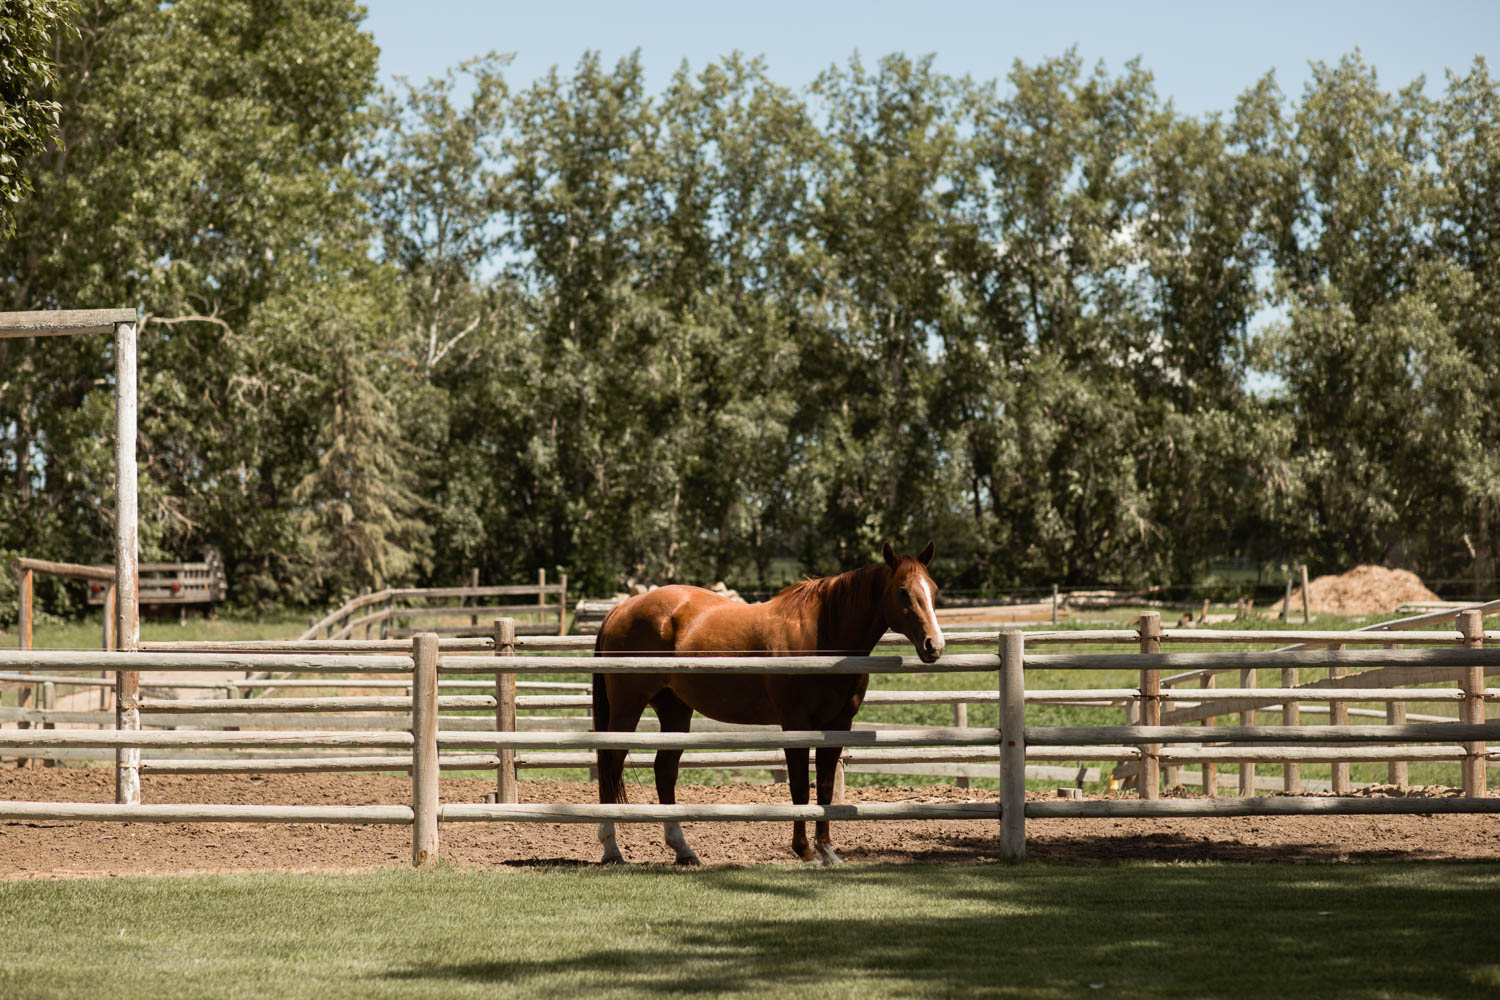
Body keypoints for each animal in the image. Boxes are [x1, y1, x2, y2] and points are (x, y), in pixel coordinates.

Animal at [591, 542, 942, 863]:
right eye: (902, 592)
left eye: (933, 590)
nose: (934, 645)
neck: (823, 636)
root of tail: (620, 610)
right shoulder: (796, 724)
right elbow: (800, 787)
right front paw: (804, 851)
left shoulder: (838, 725)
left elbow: (825, 786)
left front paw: (827, 851)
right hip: (628, 708)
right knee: (611, 762)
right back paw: (611, 849)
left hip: (675, 711)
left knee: (664, 770)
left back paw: (683, 850)